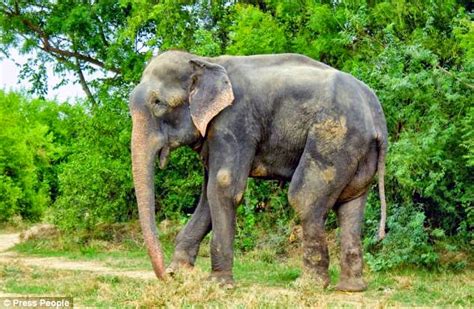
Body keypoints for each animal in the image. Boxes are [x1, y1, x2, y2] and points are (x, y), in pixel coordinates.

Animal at [128, 50, 386, 292]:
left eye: (158, 103)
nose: (164, 277)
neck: (205, 60)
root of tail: (377, 116)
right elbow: (208, 196)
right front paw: (179, 273)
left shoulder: (234, 122)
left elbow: (223, 187)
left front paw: (219, 285)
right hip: (359, 151)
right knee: (350, 205)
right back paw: (350, 288)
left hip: (335, 138)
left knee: (304, 198)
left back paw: (308, 285)